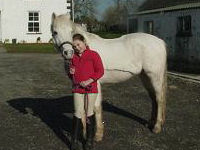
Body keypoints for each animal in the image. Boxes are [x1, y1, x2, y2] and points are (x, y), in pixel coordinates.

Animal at [51, 13, 167, 141]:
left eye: (71, 31)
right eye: (55, 32)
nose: (68, 52)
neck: (85, 50)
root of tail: (160, 41)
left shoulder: (95, 84)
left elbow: (96, 108)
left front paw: (98, 135)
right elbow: (83, 109)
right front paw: (85, 134)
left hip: (155, 76)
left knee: (159, 98)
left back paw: (157, 127)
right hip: (145, 77)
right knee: (153, 98)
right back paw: (150, 123)